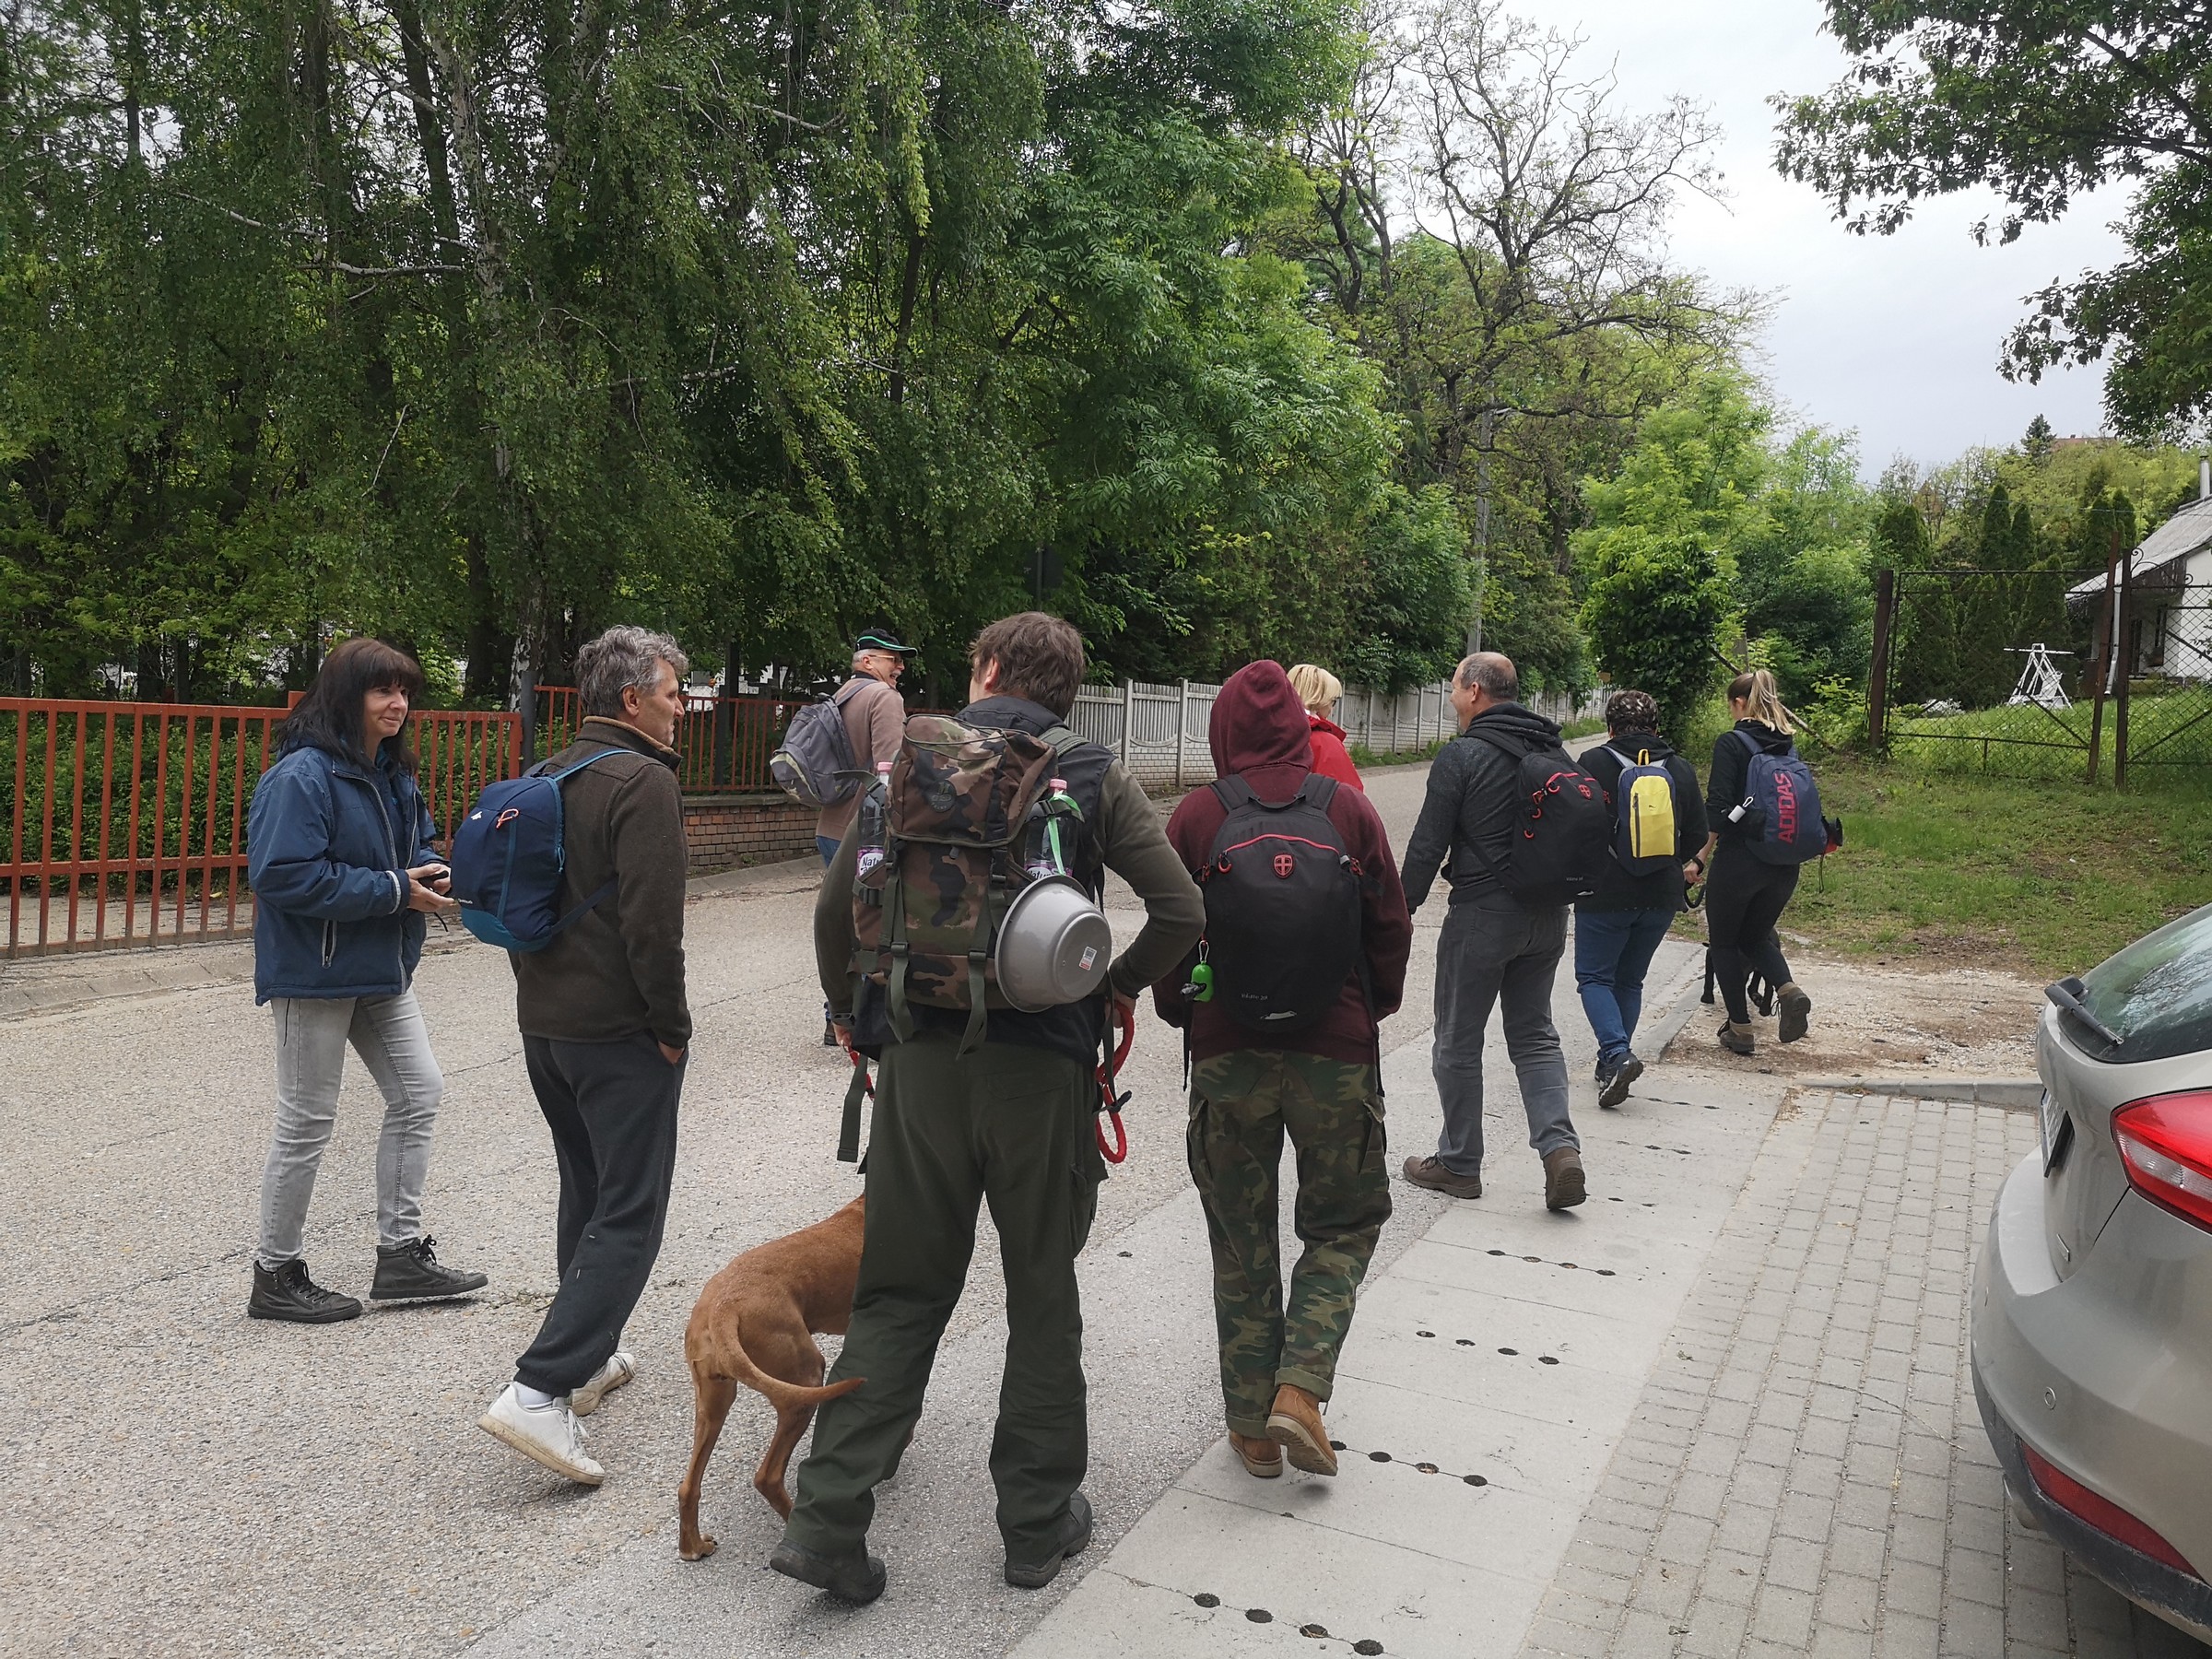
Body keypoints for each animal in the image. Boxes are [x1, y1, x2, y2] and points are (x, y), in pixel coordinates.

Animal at [677, 1194, 867, 1561]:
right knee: (767, 1476)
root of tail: (723, 1309)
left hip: (713, 1402)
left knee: (688, 1486)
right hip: (806, 1380)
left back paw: (692, 1547)